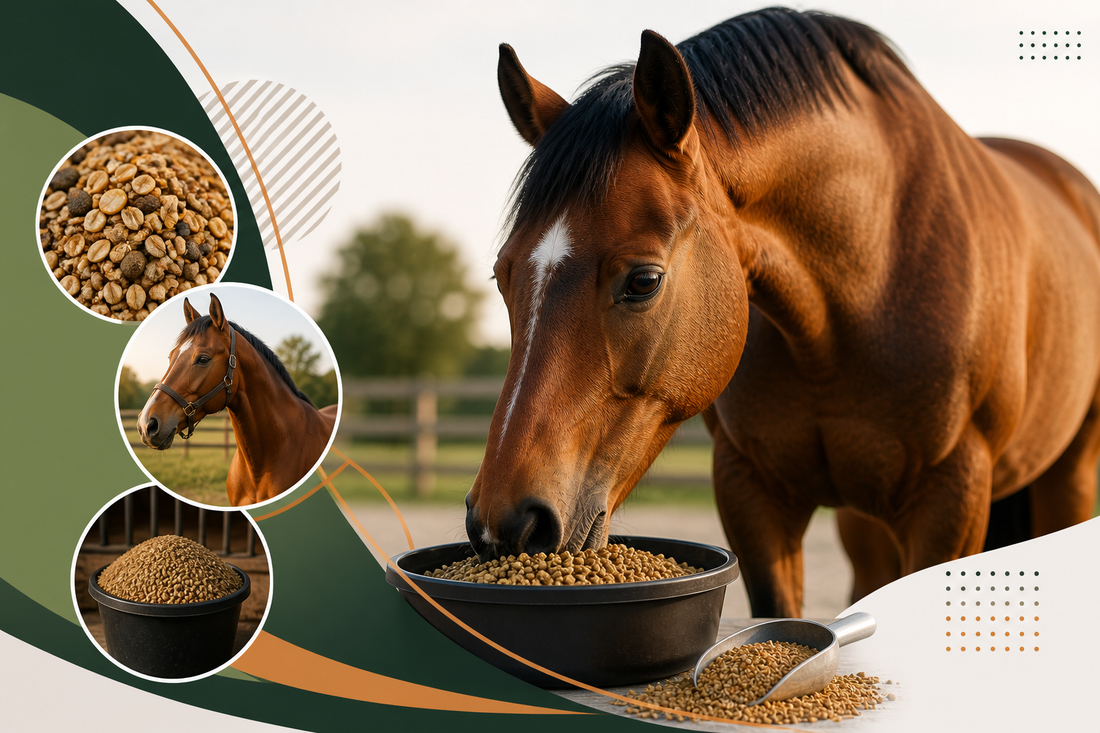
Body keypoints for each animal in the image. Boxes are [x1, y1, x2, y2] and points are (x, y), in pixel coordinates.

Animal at [465, 7, 1100, 617]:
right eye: (502, 275)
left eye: (644, 281)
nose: (507, 521)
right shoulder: (751, 489)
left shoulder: (953, 497)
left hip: (1069, 475)